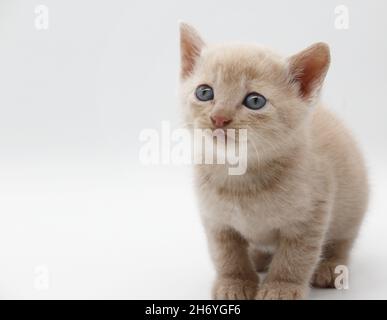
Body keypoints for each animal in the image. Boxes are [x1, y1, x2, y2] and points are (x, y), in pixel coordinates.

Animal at [179, 23, 370, 300]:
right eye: (204, 92)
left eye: (255, 101)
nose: (219, 118)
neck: (241, 177)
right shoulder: (217, 221)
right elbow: (227, 256)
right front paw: (234, 283)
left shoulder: (308, 220)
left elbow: (294, 259)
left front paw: (281, 288)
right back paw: (258, 257)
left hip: (351, 210)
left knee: (343, 243)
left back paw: (330, 266)